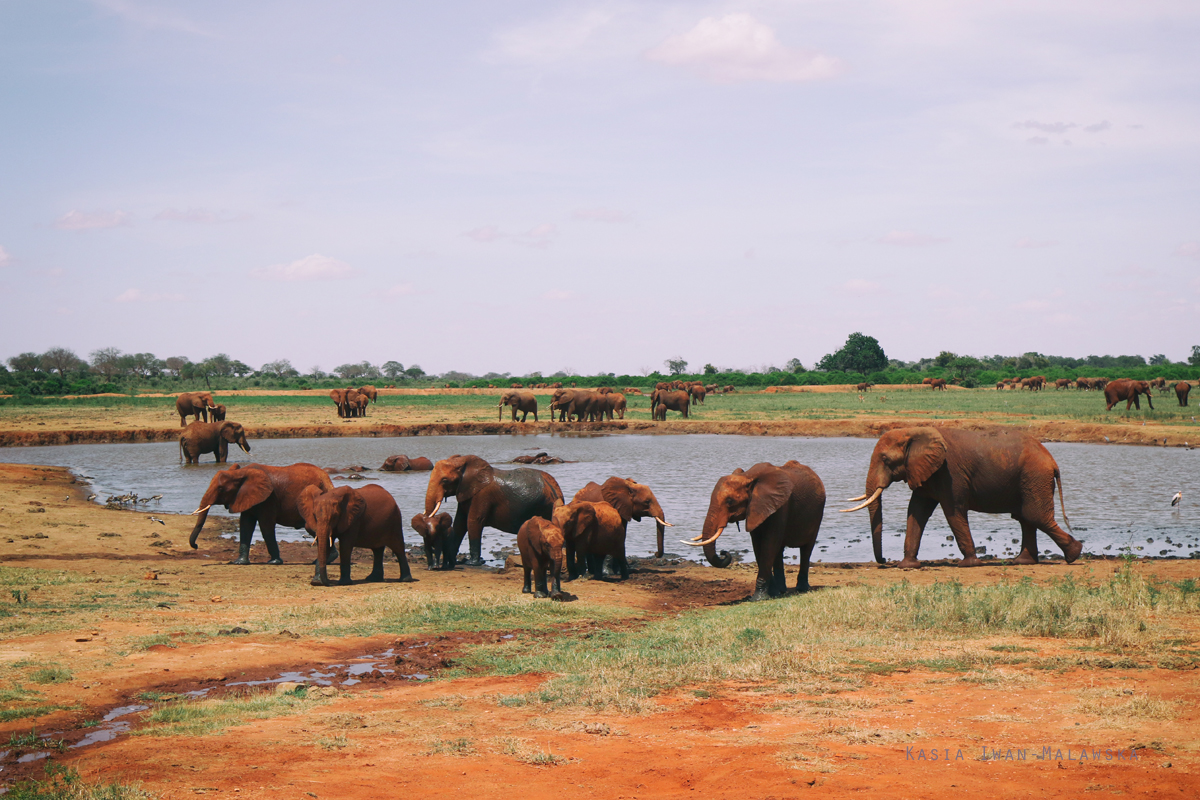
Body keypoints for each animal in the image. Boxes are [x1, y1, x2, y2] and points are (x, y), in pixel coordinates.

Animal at [186, 460, 333, 566]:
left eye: (221, 489)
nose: (196, 546)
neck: (241, 473)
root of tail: (327, 479)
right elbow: (245, 525)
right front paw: (239, 562)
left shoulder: (269, 498)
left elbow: (265, 526)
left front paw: (274, 562)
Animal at [424, 455, 564, 568]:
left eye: (445, 480)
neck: (463, 461)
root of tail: (557, 491)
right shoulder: (465, 493)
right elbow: (459, 524)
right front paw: (454, 561)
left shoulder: (482, 495)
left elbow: (473, 522)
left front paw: (472, 563)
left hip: (544, 507)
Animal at [686, 462, 825, 599]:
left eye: (730, 501)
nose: (723, 553)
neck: (748, 476)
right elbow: (759, 544)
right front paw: (771, 593)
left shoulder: (780, 507)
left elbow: (769, 543)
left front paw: (758, 598)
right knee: (779, 550)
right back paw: (781, 591)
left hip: (817, 515)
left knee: (806, 549)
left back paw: (802, 589)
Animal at [840, 424, 1084, 568]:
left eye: (885, 459)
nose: (883, 561)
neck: (914, 431)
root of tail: (1052, 461)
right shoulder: (925, 471)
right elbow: (916, 511)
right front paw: (907, 566)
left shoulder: (950, 473)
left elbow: (953, 511)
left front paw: (968, 564)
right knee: (1025, 518)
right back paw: (1023, 561)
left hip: (1034, 476)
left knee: (1034, 516)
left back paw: (1074, 554)